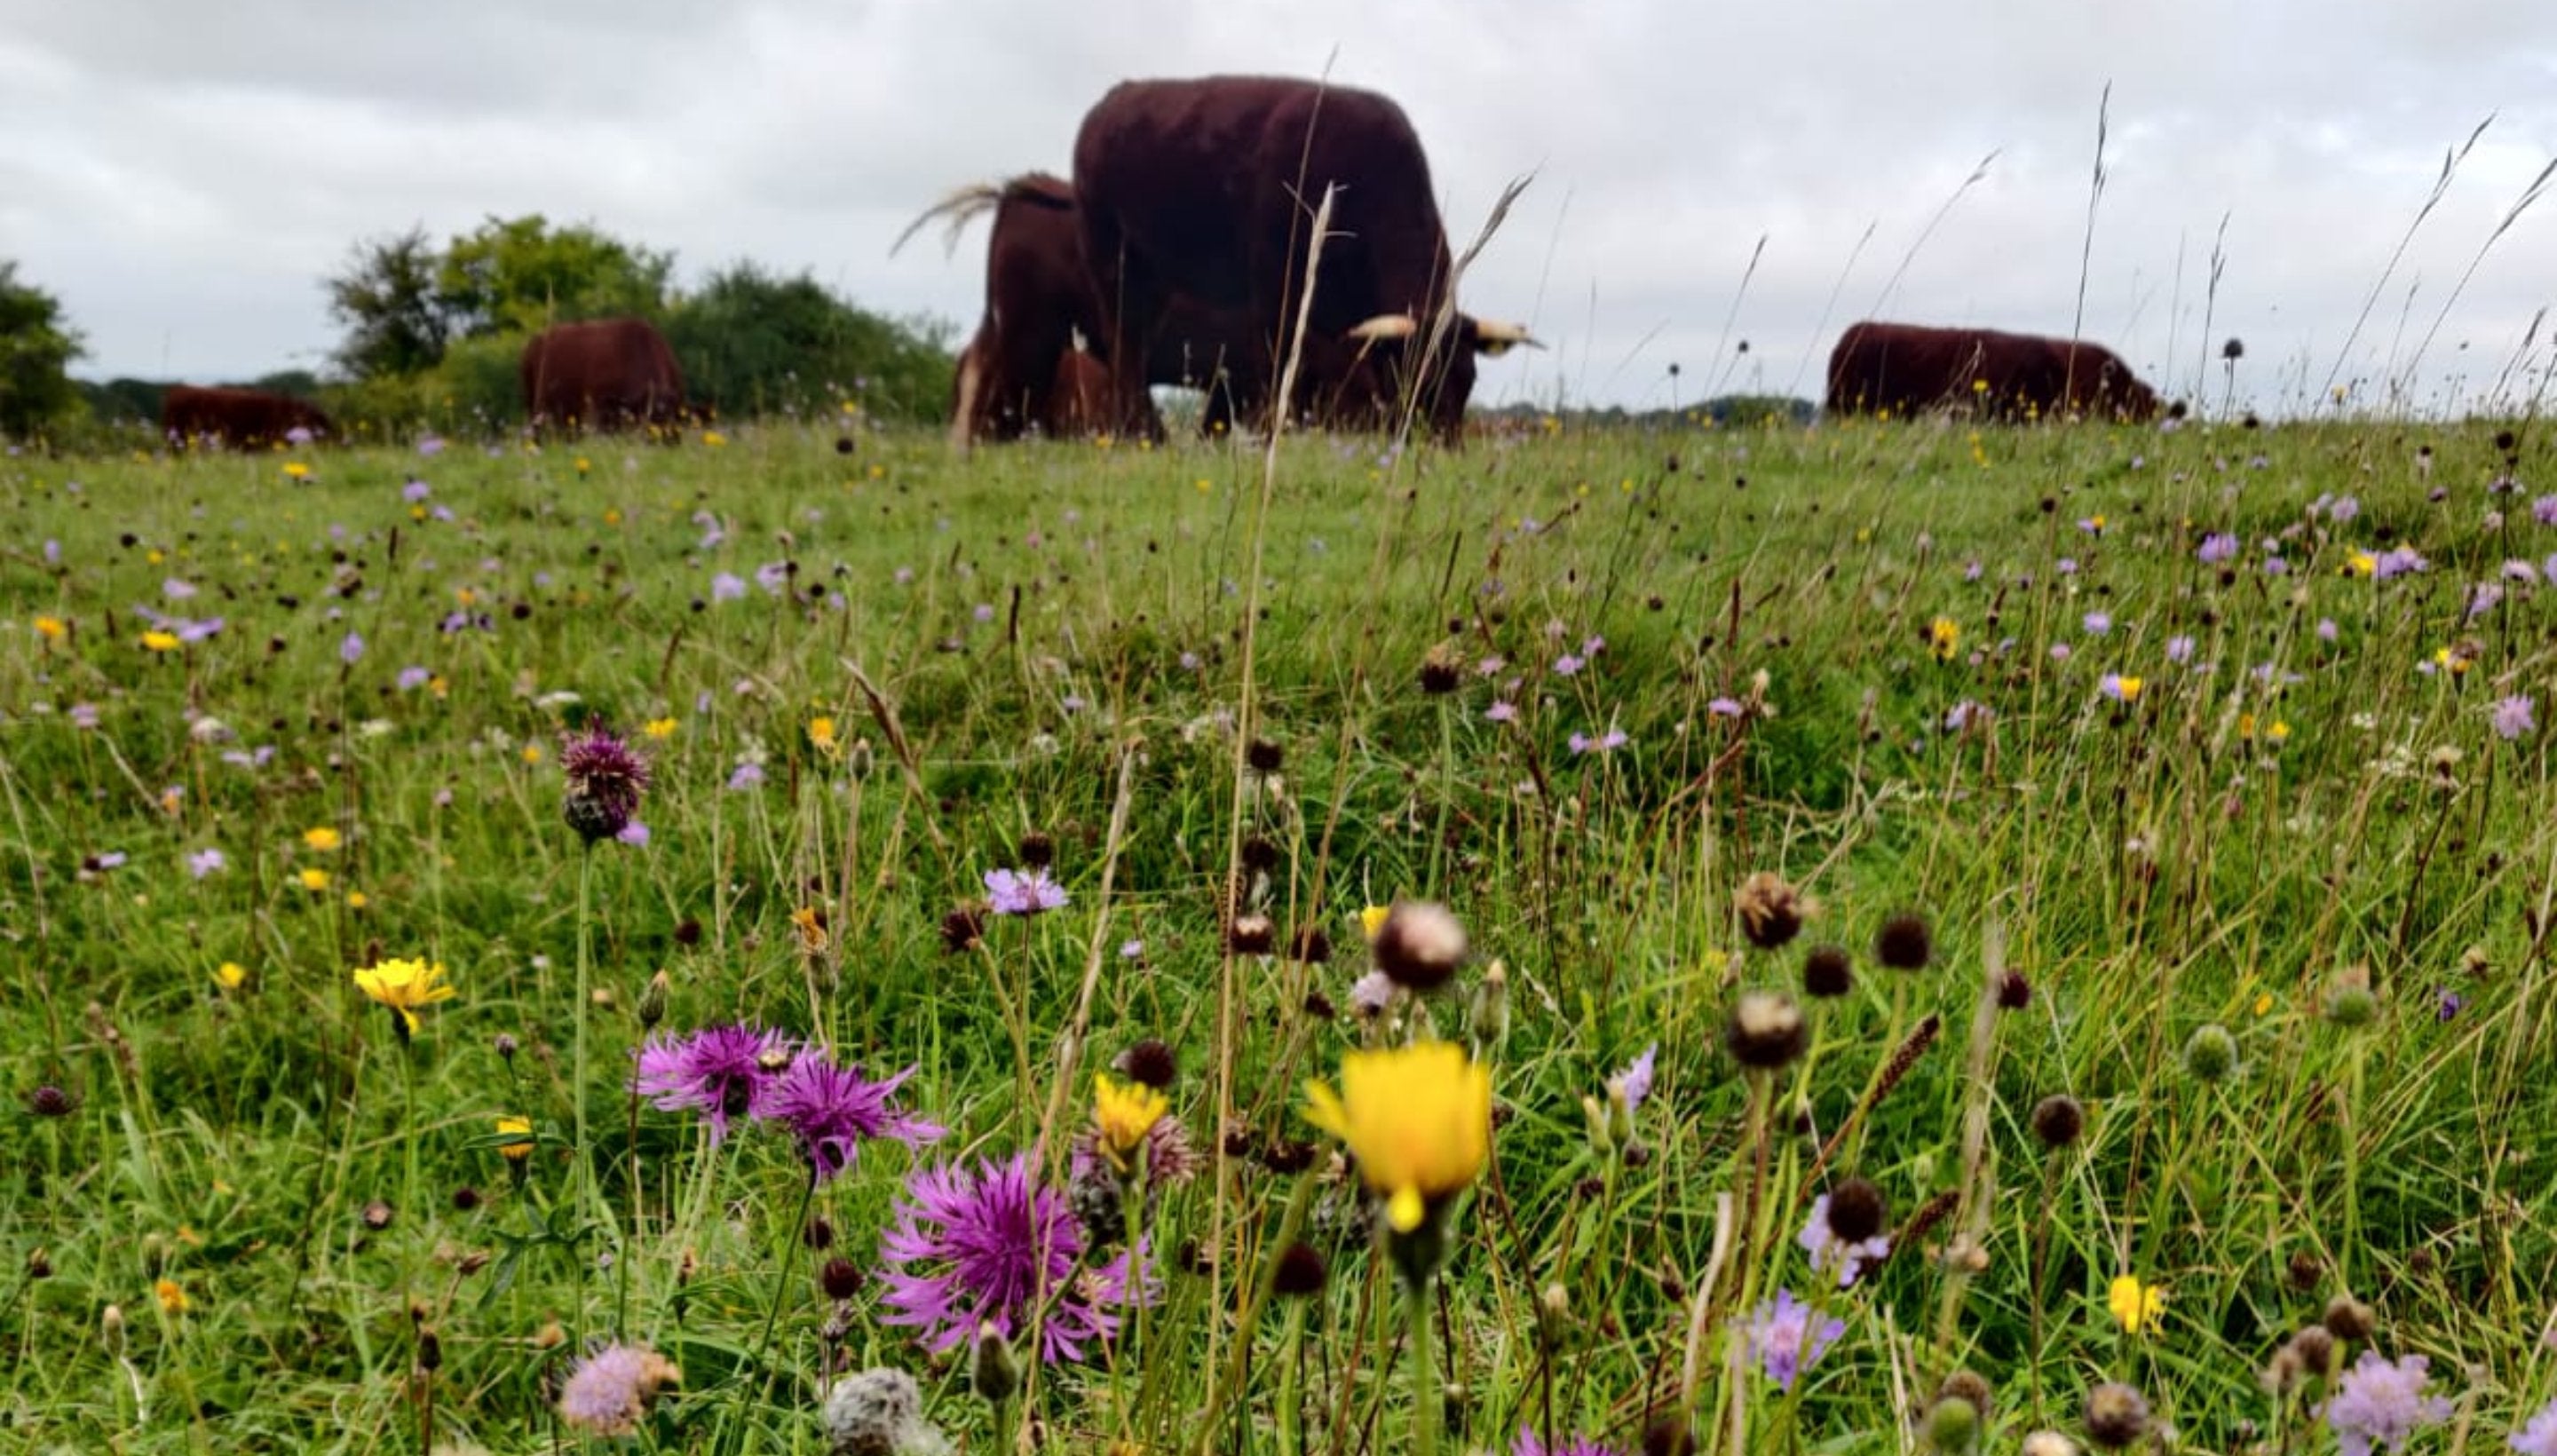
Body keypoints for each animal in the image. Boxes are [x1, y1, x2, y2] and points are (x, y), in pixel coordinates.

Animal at [1070, 75, 1535, 443]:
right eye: (1415, 383)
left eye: (1468, 380)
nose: (1442, 449)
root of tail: (1114, 100)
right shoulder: (1276, 289)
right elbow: (1281, 365)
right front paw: (1271, 432)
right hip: (1110, 258)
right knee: (1124, 341)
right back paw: (1141, 432)